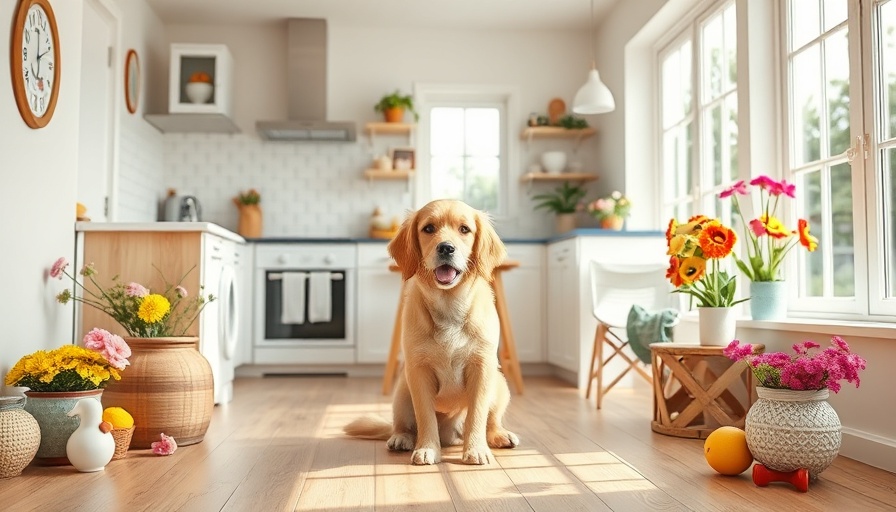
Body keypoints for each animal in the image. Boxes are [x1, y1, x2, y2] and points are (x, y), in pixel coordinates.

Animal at [346, 199, 520, 464]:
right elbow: (425, 416)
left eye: (464, 229)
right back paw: (402, 438)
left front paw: (476, 449)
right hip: (401, 391)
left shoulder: (482, 366)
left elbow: (477, 416)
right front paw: (427, 448)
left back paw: (499, 435)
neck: (449, 305)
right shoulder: (419, 371)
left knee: (491, 421)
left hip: (499, 383)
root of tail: (451, 436)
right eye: (428, 228)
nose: (446, 248)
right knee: (403, 424)